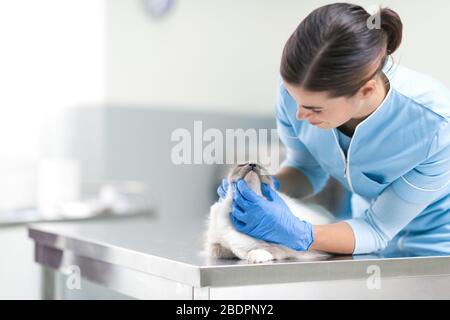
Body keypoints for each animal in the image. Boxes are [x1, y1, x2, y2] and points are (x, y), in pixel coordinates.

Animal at [204, 164, 334, 264]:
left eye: (260, 166)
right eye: (242, 165)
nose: (252, 164)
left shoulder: (287, 246)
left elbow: (267, 249)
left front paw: (253, 255)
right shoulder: (215, 244)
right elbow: (219, 250)